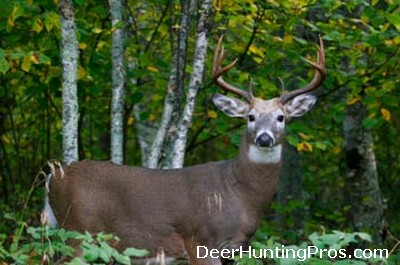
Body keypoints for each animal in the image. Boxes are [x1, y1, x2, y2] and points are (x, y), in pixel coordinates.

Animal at [43, 35, 324, 264]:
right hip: (80, 229)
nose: (264, 138)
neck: (240, 194)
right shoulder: (201, 241)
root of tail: (52, 178)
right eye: (250, 117)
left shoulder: (235, 250)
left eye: (281, 117)